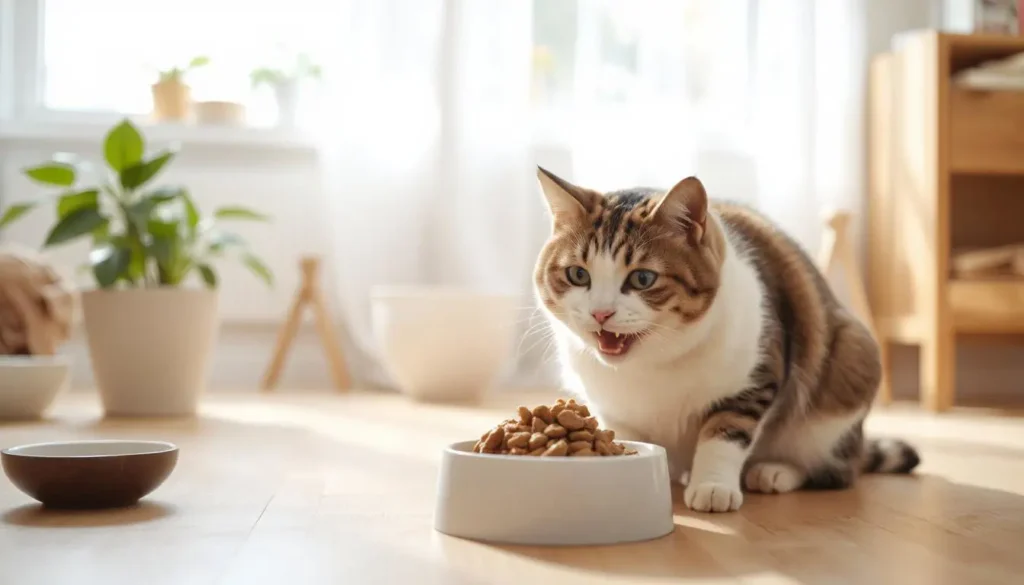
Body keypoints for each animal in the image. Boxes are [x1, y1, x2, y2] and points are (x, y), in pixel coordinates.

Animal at [536, 168, 921, 512]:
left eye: (642, 278)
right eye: (578, 274)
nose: (600, 313)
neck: (651, 363)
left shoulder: (754, 379)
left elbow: (725, 434)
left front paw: (713, 487)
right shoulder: (613, 409)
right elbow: (631, 438)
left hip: (850, 365)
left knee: (834, 469)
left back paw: (775, 472)